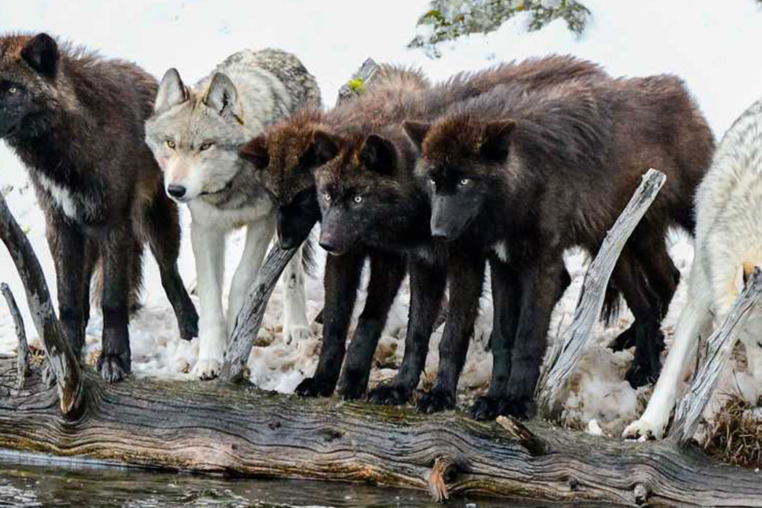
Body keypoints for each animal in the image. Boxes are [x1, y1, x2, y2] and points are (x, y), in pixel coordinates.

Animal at [0, 33, 199, 382]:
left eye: (11, 89)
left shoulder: (115, 225)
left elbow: (112, 300)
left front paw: (114, 358)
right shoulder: (60, 225)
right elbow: (67, 300)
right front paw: (65, 359)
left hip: (155, 222)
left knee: (168, 274)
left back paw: (191, 329)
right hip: (87, 237)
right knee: (82, 294)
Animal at [145, 49, 320, 379]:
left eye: (205, 146)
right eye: (171, 143)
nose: (175, 190)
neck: (229, 188)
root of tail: (282, 53)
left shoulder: (264, 223)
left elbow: (242, 281)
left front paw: (235, 332)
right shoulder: (204, 227)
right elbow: (212, 295)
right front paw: (210, 359)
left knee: (293, 273)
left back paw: (297, 326)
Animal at [408, 76, 714, 418]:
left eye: (464, 182)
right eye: (434, 181)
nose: (437, 233)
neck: (525, 184)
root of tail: (679, 89)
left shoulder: (542, 265)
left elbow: (527, 338)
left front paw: (516, 400)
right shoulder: (503, 265)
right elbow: (502, 339)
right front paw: (491, 399)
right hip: (617, 251)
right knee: (653, 296)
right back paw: (644, 368)